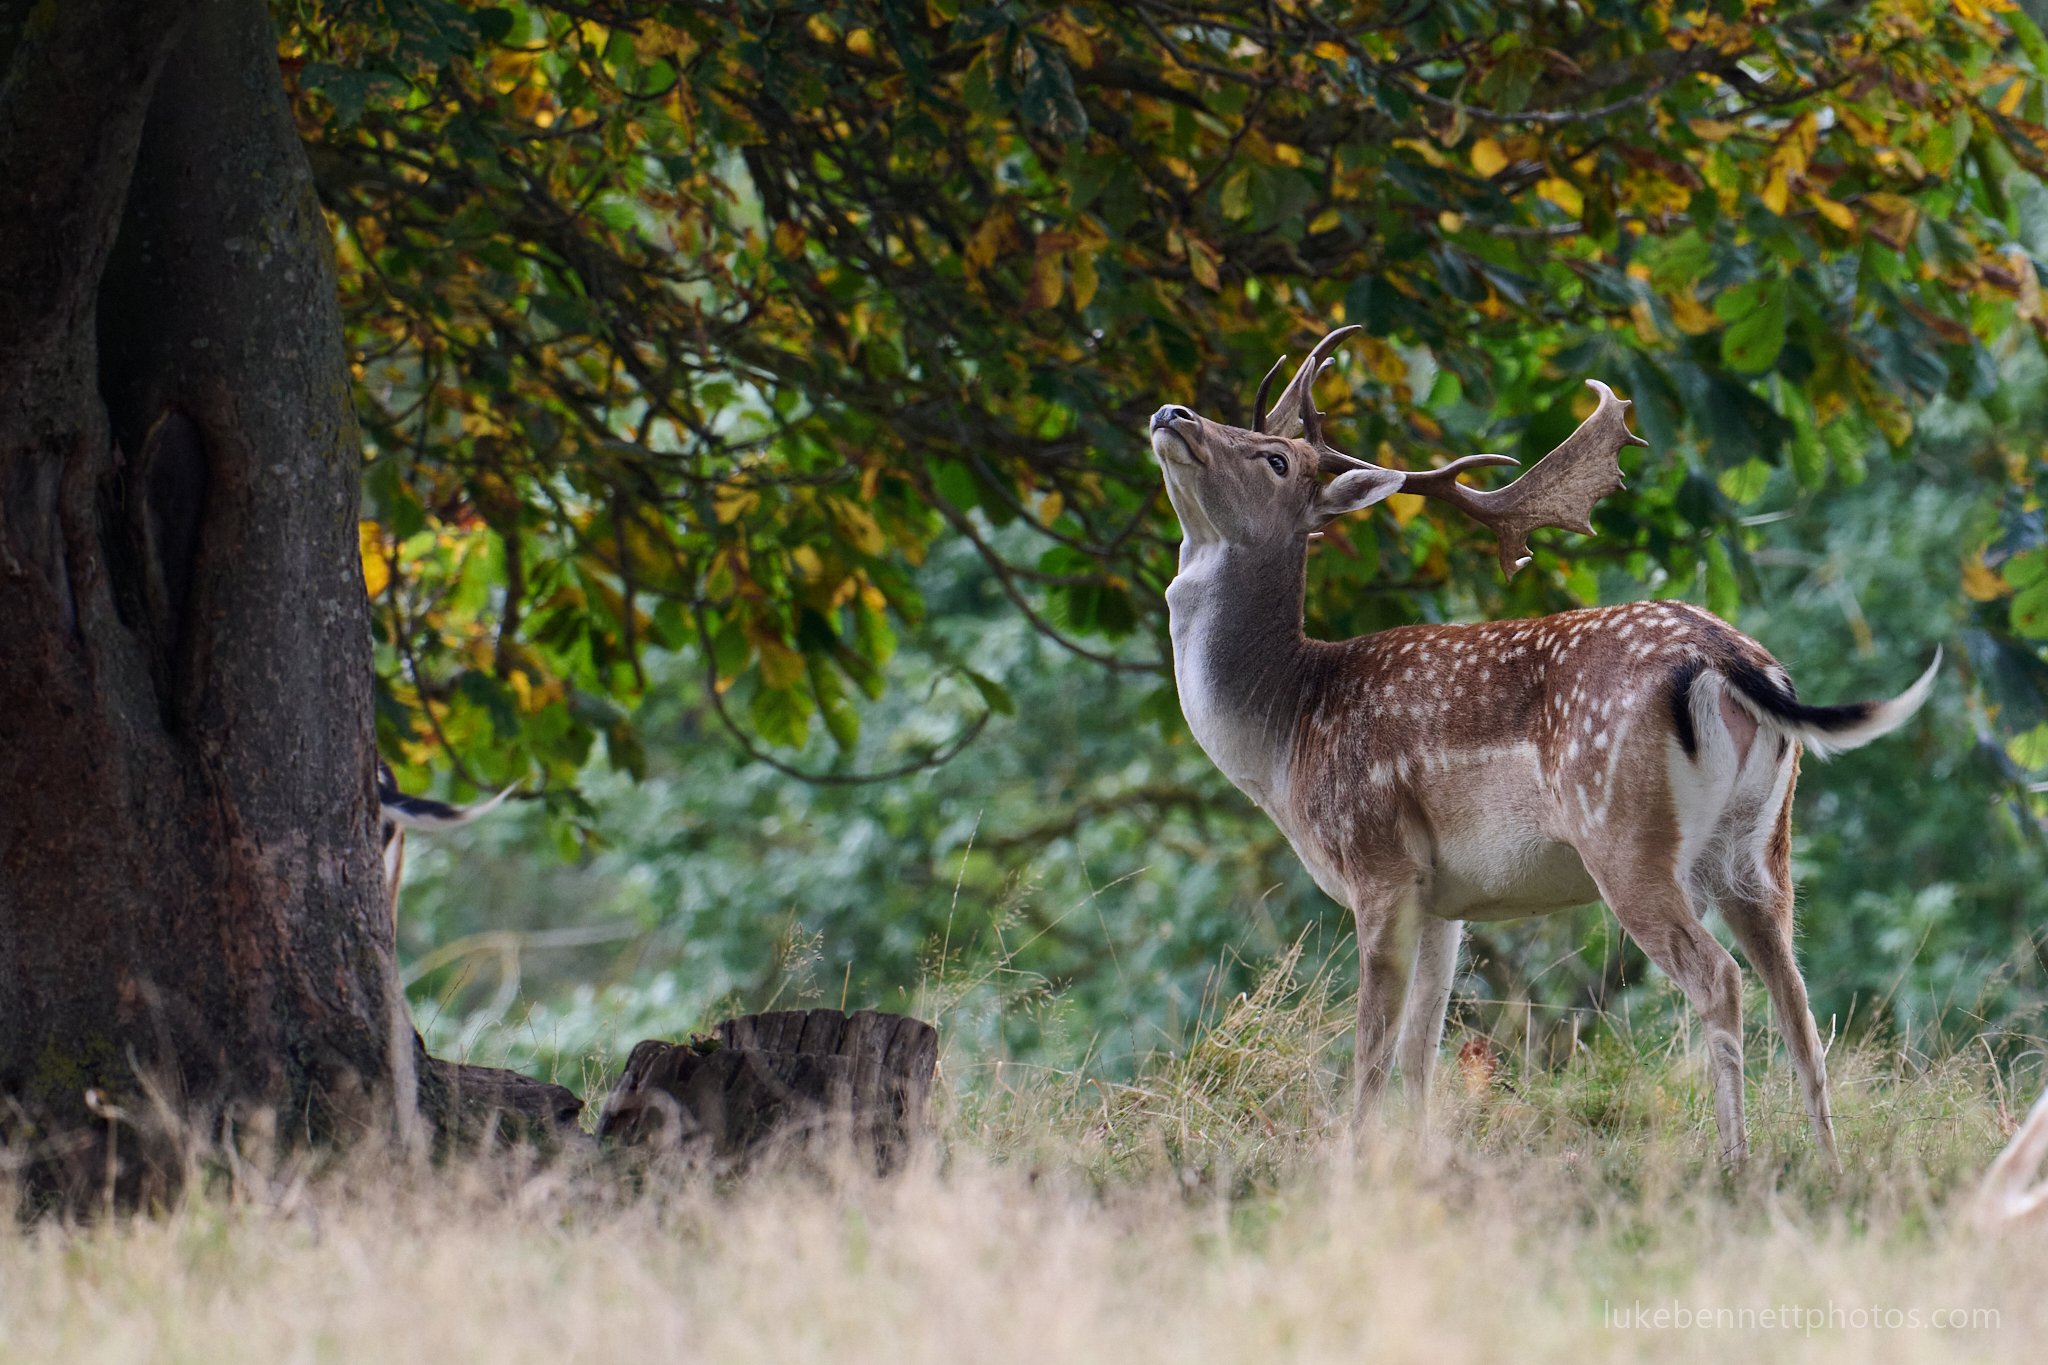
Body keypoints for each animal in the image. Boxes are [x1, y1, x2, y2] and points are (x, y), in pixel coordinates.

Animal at [1155, 327, 1933, 1162]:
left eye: (1274, 459)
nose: (1172, 413)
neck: (1287, 734)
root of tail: (1728, 657)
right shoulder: (1444, 897)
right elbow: (1421, 1048)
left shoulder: (1378, 861)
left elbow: (1373, 1046)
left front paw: (1353, 1162)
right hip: (1759, 848)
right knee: (1798, 995)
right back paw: (1828, 1166)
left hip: (1623, 831)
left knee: (1719, 977)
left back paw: (1733, 1162)